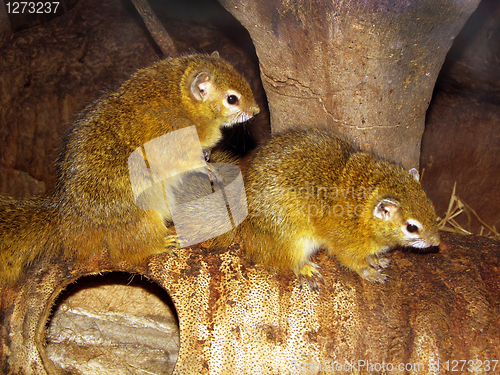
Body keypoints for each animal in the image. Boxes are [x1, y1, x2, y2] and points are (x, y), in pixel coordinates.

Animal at [0, 51, 258, 284]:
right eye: (232, 99)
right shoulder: (171, 134)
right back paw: (161, 243)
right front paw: (207, 168)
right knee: (128, 249)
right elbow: (184, 161)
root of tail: (67, 217)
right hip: (140, 208)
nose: (256, 111)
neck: (180, 99)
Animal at [213, 129, 440, 288]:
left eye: (431, 206)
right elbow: (354, 263)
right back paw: (306, 269)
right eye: (412, 227)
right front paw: (371, 273)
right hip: (294, 239)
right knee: (287, 261)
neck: (363, 213)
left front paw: (377, 260)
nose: (437, 242)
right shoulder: (345, 245)